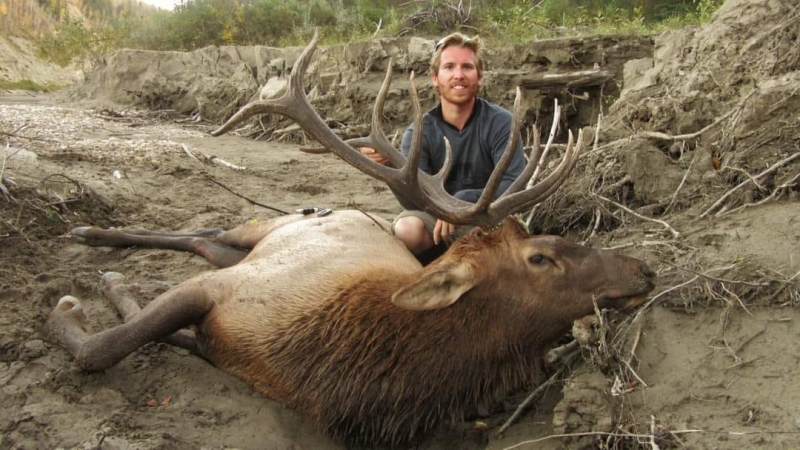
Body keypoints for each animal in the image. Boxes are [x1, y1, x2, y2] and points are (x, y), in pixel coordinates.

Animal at [46, 30, 656, 445]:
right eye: (540, 256)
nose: (644, 268)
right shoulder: (220, 291)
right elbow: (104, 346)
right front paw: (78, 302)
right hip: (270, 226)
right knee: (209, 227)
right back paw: (92, 232)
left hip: (251, 245)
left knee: (207, 239)